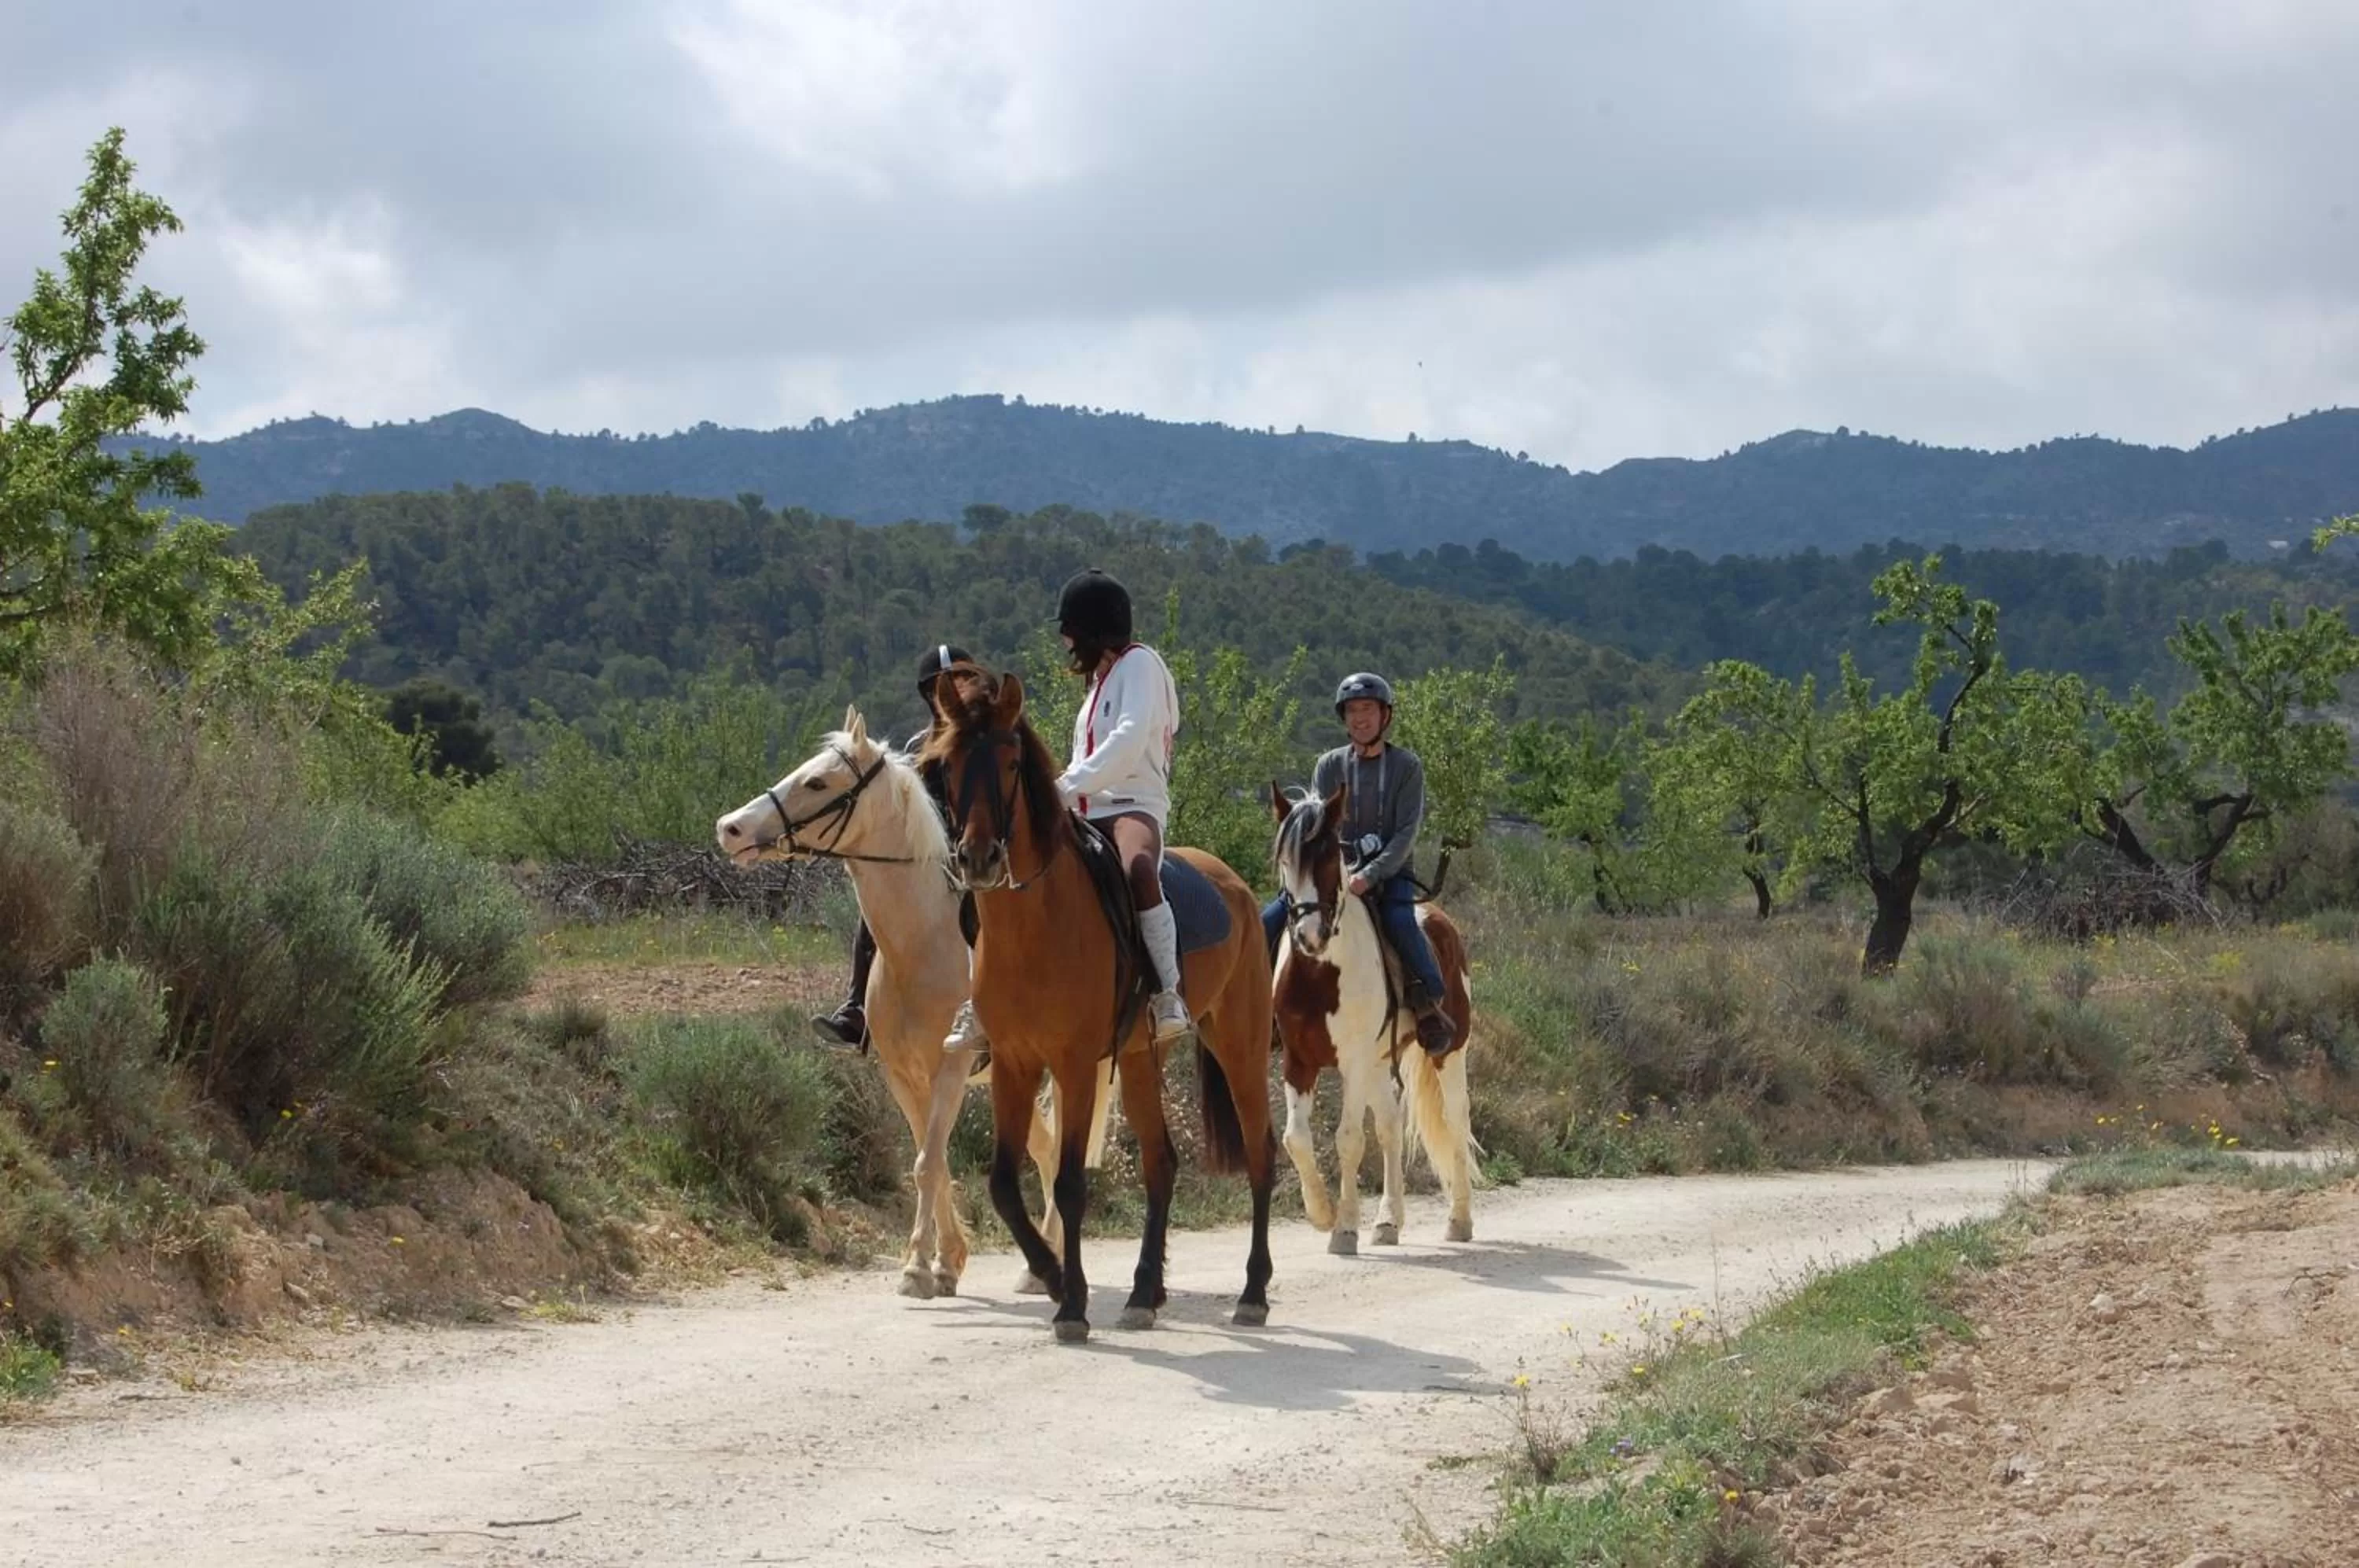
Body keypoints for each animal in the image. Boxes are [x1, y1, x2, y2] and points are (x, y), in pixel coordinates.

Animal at [714, 708, 1111, 1300]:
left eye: (817, 782)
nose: (731, 828)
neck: (922, 946)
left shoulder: (951, 1068)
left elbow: (929, 1163)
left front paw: (918, 1270)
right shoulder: (902, 1074)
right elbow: (933, 1160)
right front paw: (945, 1261)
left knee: (1066, 1148)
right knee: (1045, 1148)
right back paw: (1037, 1264)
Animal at [925, 669, 1278, 1343]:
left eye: (1011, 762)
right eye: (947, 764)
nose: (979, 858)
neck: (1036, 923)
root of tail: (1239, 888)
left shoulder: (1073, 1066)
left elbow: (1067, 1185)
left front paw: (1072, 1304)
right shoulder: (1014, 1064)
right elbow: (1003, 1184)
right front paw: (1054, 1276)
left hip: (1240, 1048)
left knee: (1261, 1156)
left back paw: (1252, 1292)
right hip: (1140, 1058)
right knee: (1161, 1163)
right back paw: (1145, 1293)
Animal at [1267, 782, 1480, 1252]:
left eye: (1330, 858)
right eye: (1285, 860)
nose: (1310, 936)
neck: (1321, 972)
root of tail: (1440, 919)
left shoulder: (1353, 1062)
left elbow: (1348, 1140)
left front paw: (1344, 1229)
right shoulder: (1299, 1062)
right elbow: (1296, 1139)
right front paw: (1322, 1214)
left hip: (1449, 1053)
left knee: (1456, 1119)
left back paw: (1459, 1220)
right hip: (1382, 1063)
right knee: (1391, 1125)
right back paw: (1387, 1222)